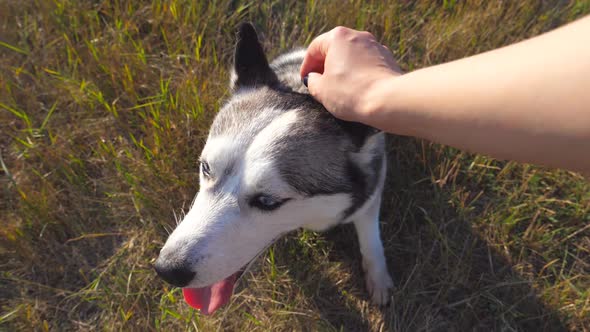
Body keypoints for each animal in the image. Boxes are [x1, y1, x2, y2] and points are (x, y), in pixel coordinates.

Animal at [155, 22, 394, 314]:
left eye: (267, 201)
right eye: (206, 168)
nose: (167, 270)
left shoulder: (372, 188)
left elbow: (370, 237)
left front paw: (378, 276)